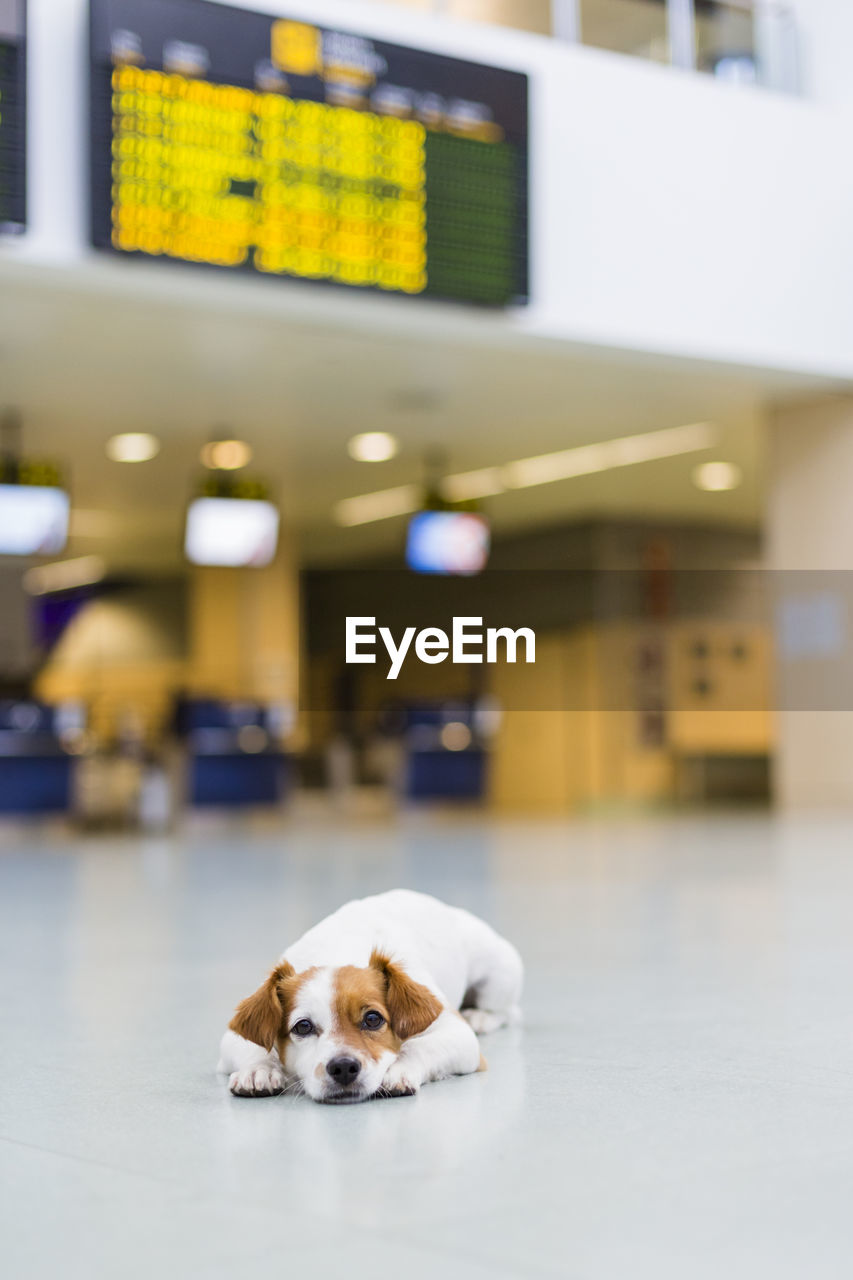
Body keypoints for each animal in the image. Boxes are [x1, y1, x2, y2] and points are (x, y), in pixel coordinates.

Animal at [216, 885, 522, 1105]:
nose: (343, 1068)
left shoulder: (457, 1034)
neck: (339, 949)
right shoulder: (233, 1037)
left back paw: (481, 1017)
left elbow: (417, 1046)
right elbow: (255, 1048)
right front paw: (259, 1069)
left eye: (373, 1019)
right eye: (303, 1026)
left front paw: (398, 1069)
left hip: (499, 974)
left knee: (508, 1012)